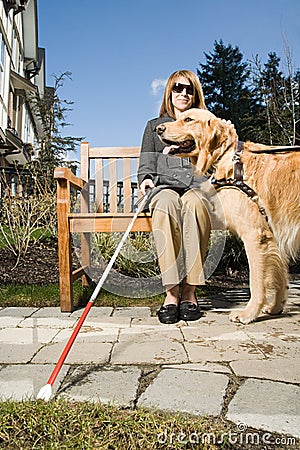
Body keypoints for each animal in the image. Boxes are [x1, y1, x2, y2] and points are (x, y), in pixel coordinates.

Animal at [157, 110, 300, 326]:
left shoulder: (255, 236)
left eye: (188, 119)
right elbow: (279, 277)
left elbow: (257, 281)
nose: (158, 129)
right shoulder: (273, 237)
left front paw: (249, 314)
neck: (227, 158)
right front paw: (275, 308)